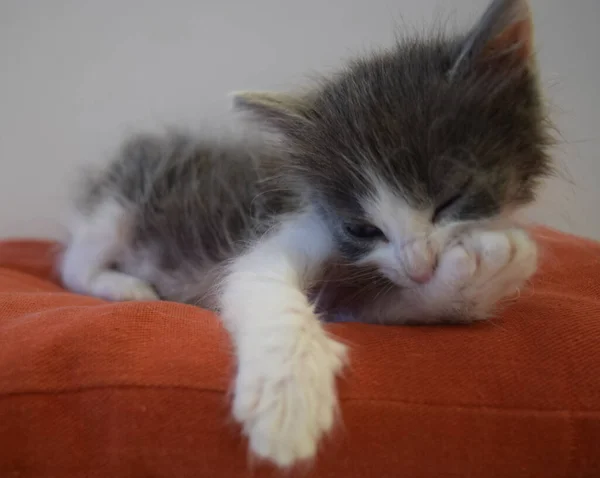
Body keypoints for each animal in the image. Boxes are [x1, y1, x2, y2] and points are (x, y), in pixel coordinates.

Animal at [58, 0, 552, 468]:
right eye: (360, 227)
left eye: (451, 198)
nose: (419, 266)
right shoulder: (290, 228)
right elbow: (262, 285)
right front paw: (287, 397)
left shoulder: (358, 295)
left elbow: (397, 304)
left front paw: (481, 275)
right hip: (121, 202)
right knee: (73, 264)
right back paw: (126, 286)